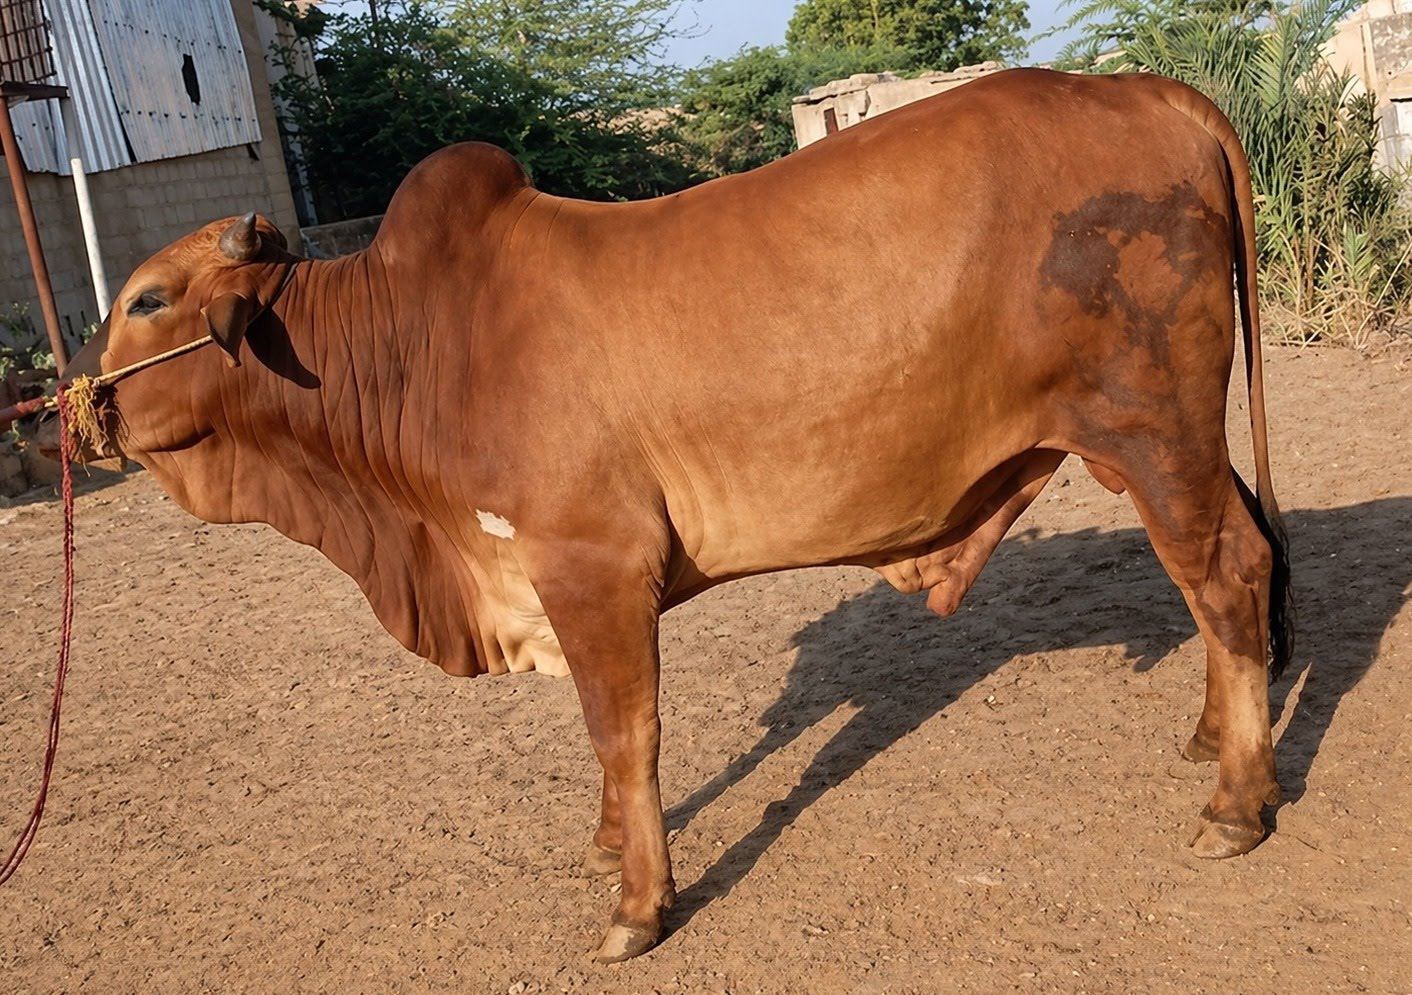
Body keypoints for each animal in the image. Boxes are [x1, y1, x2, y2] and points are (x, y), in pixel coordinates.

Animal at [38, 68, 1292, 961]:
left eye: (148, 300)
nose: (64, 408)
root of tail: (1151, 90)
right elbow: (605, 738)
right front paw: (609, 850)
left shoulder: (591, 563)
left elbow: (622, 731)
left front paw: (638, 902)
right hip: (1157, 440)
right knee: (1230, 565)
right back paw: (1219, 735)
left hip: (1149, 428)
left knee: (1225, 567)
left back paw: (1236, 801)